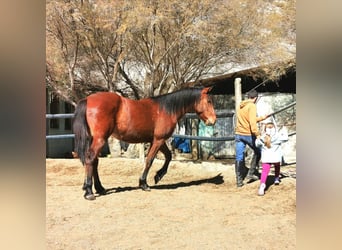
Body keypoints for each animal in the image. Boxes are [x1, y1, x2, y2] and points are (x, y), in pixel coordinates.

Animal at [73, 87, 216, 200]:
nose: (213, 120)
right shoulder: (159, 140)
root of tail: (87, 100)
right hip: (100, 139)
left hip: (95, 139)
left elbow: (168, 156)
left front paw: (158, 175)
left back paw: (99, 188)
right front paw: (144, 183)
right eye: (209, 101)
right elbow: (149, 160)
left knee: (94, 161)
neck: (165, 109)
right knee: (90, 159)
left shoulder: (157, 140)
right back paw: (89, 191)